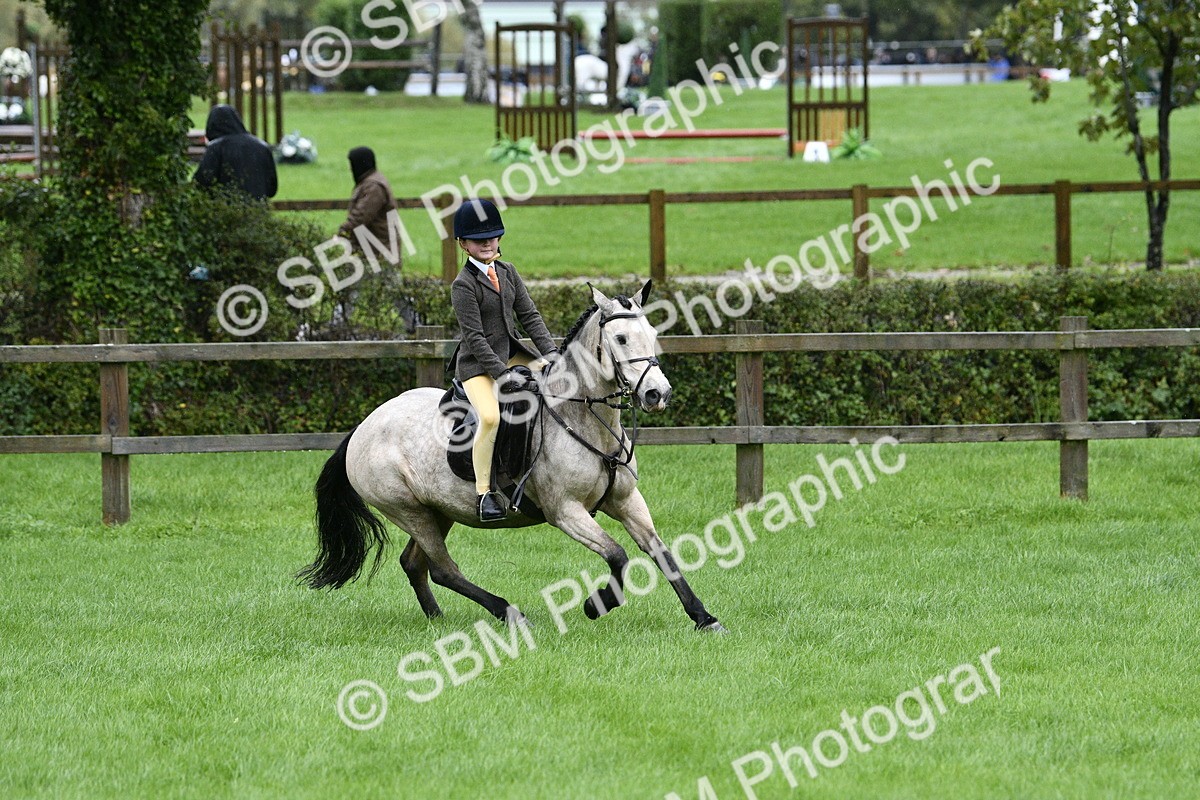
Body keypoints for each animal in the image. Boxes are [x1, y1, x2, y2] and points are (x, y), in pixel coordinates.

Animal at [298, 281, 726, 632]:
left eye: (652, 335)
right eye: (620, 338)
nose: (657, 394)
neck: (583, 418)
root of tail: (363, 427)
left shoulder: (627, 501)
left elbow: (660, 552)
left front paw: (704, 618)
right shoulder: (565, 511)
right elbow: (618, 556)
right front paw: (596, 605)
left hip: (438, 510)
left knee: (416, 564)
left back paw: (438, 618)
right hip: (408, 511)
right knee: (443, 569)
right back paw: (509, 614)